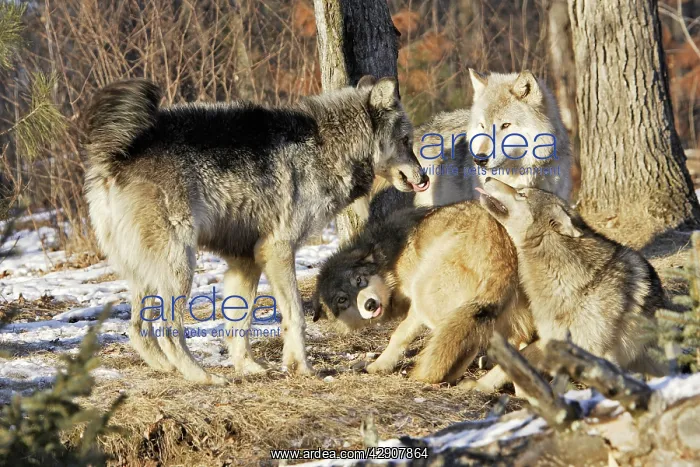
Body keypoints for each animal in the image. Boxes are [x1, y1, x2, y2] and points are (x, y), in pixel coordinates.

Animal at [81, 76, 429, 384]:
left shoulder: (245, 261)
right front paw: (302, 368)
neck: (325, 146)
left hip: (149, 273)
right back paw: (203, 377)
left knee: (137, 329)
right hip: (180, 266)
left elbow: (239, 323)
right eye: (407, 141)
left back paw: (168, 369)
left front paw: (248, 368)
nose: (424, 177)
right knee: (167, 330)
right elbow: (295, 316)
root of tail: (116, 156)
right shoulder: (278, 250)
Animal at [313, 201, 535, 384]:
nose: (370, 305)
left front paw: (379, 366)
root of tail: (499, 246)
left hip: (428, 300)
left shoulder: (414, 308)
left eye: (359, 280)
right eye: (342, 299)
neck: (388, 260)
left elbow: (399, 335)